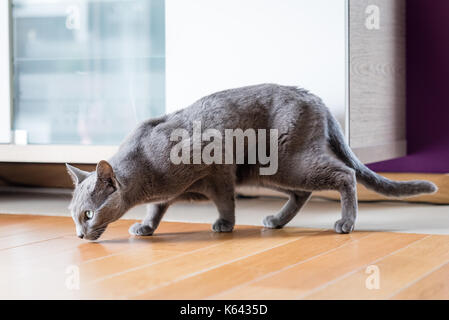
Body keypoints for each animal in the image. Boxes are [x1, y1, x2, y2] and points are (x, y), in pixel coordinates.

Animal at [65, 84, 434, 240]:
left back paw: (346, 223)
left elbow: (225, 199)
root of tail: (318, 99)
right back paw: (277, 221)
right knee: (302, 193)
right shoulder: (167, 193)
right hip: (270, 170)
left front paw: (225, 224)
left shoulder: (218, 165)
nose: (80, 236)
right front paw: (146, 227)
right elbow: (157, 208)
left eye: (88, 215)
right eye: (73, 217)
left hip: (288, 161)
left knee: (344, 174)